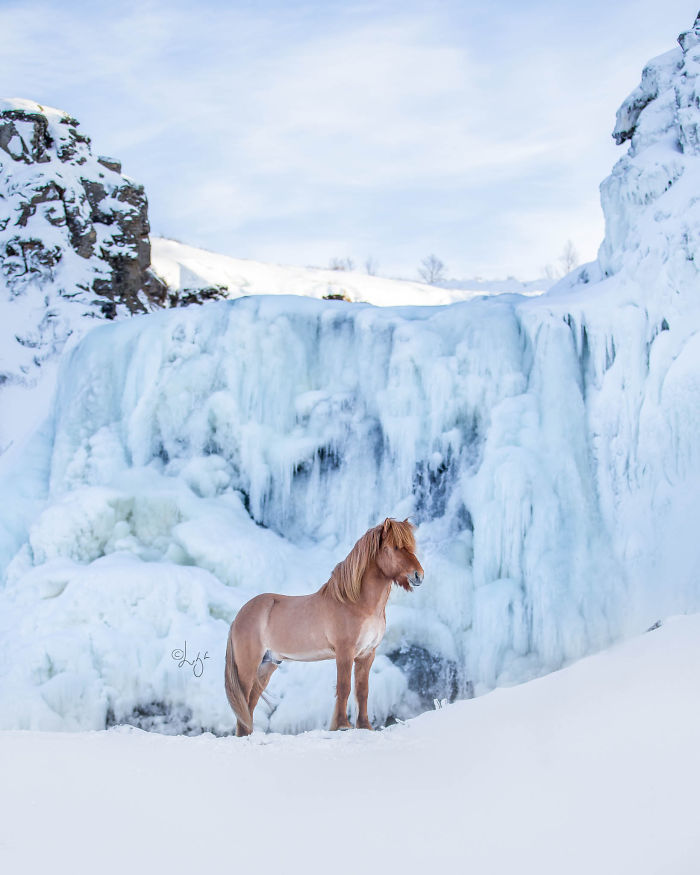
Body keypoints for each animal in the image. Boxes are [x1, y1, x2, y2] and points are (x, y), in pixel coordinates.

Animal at [226, 516, 422, 736]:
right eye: (394, 547)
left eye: (410, 546)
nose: (418, 575)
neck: (357, 604)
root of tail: (239, 616)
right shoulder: (345, 652)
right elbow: (344, 688)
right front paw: (342, 725)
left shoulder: (366, 655)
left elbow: (362, 691)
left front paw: (365, 726)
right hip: (248, 666)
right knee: (243, 701)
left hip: (268, 664)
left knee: (249, 704)